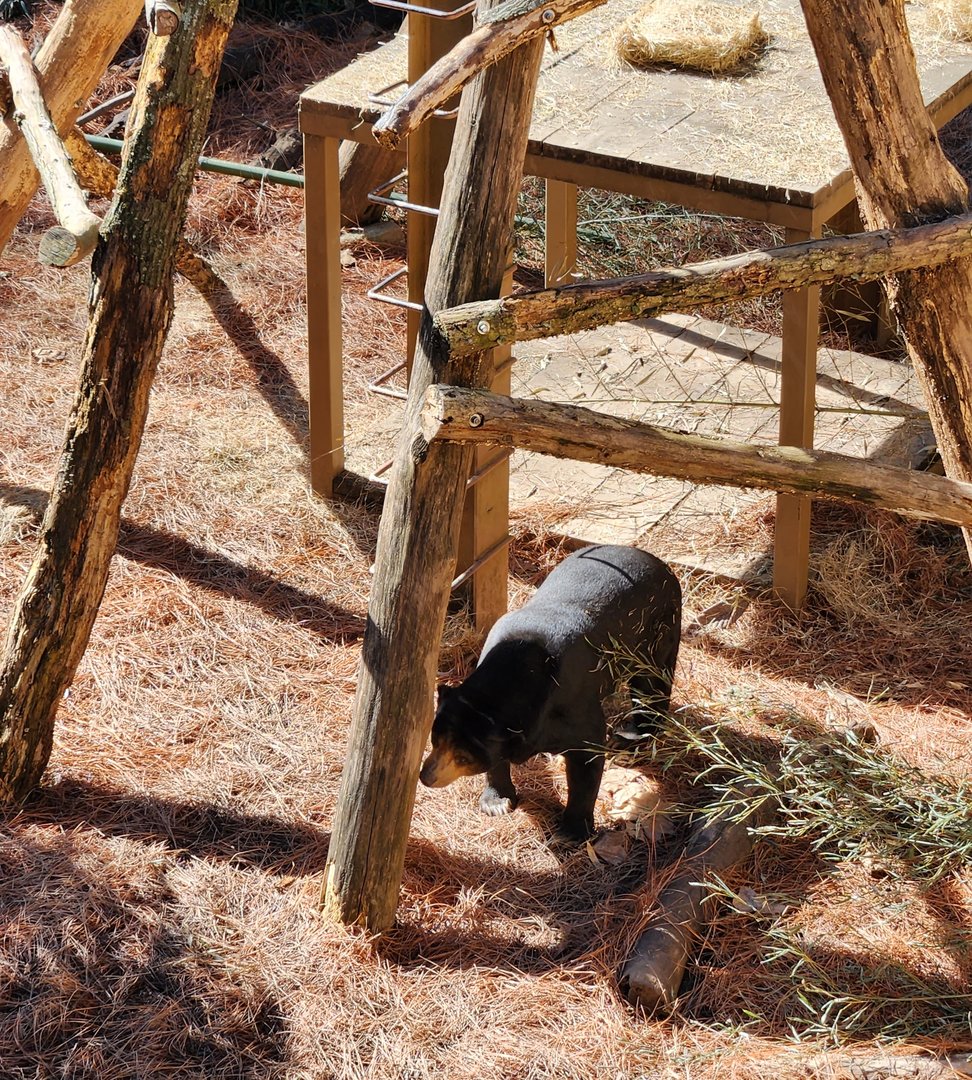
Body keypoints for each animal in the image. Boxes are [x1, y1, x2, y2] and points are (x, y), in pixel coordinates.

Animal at [419, 544, 681, 841]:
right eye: (436, 740)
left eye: (464, 757)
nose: (426, 776)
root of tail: (656, 561)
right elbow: (499, 759)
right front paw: (497, 803)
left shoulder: (573, 703)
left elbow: (585, 758)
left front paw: (573, 830)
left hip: (658, 627)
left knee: (652, 681)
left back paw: (631, 736)